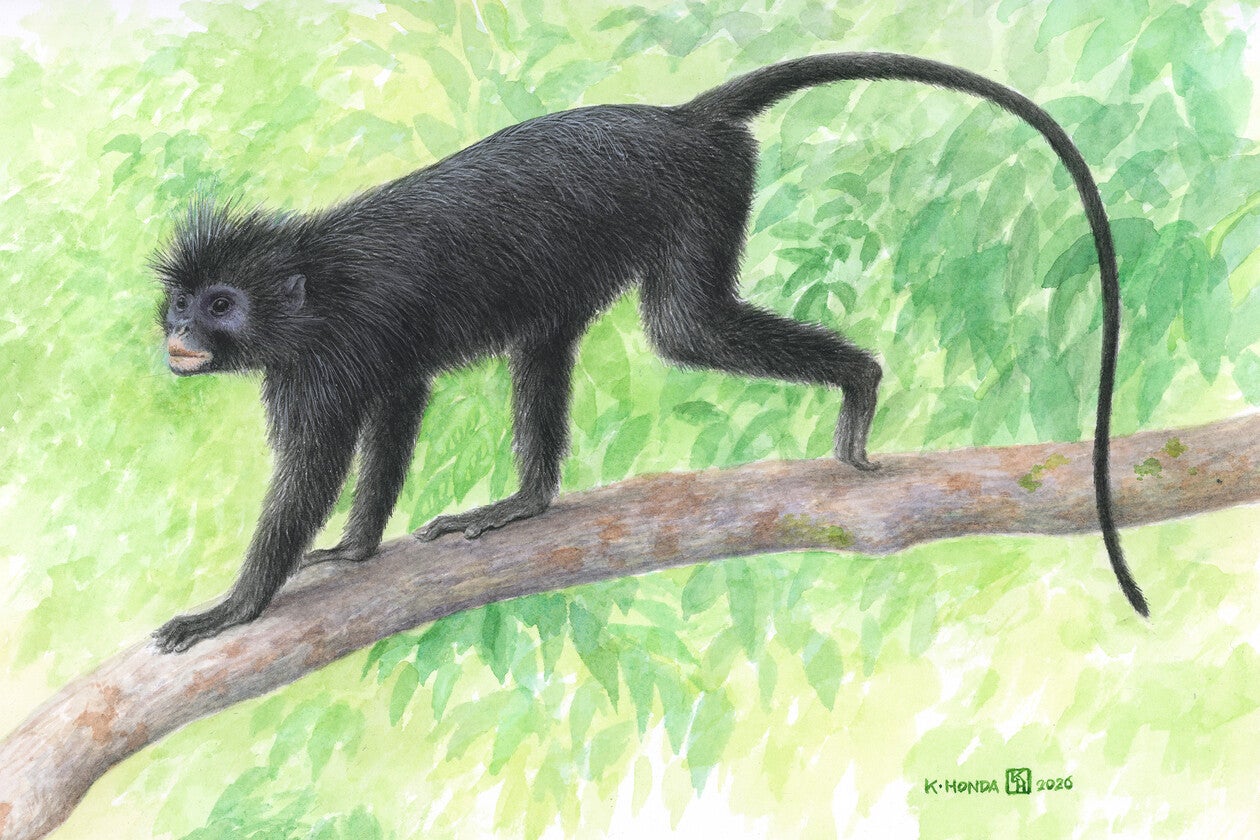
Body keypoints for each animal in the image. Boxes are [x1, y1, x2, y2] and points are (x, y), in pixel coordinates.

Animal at [150, 52, 1145, 654]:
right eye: (181, 301)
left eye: (221, 305)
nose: (178, 334)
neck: (310, 280)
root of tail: (681, 119)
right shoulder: (358, 360)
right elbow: (395, 417)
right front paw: (357, 550)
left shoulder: (326, 358)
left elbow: (314, 470)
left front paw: (232, 608)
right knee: (548, 340)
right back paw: (527, 501)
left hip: (697, 189)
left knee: (684, 328)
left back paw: (860, 381)